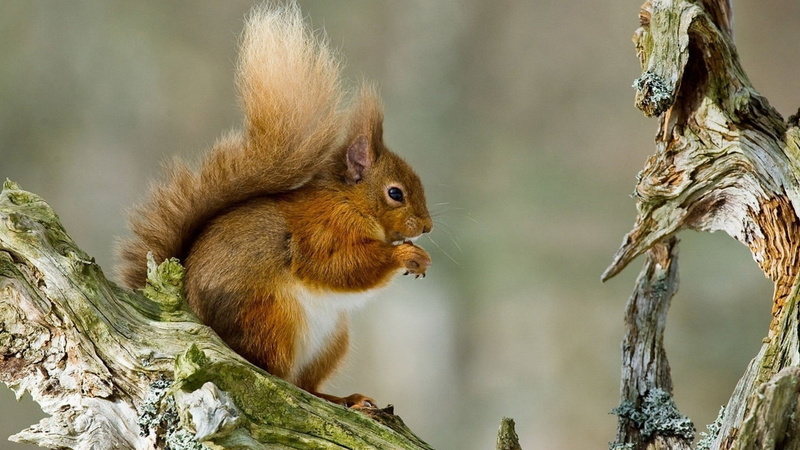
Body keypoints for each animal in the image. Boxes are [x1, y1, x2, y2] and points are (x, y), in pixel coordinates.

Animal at [116, 2, 432, 408]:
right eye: (396, 193)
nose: (426, 227)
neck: (348, 202)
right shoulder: (321, 231)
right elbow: (340, 267)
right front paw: (407, 256)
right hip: (271, 320)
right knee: (276, 374)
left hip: (332, 340)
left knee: (304, 384)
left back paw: (344, 399)